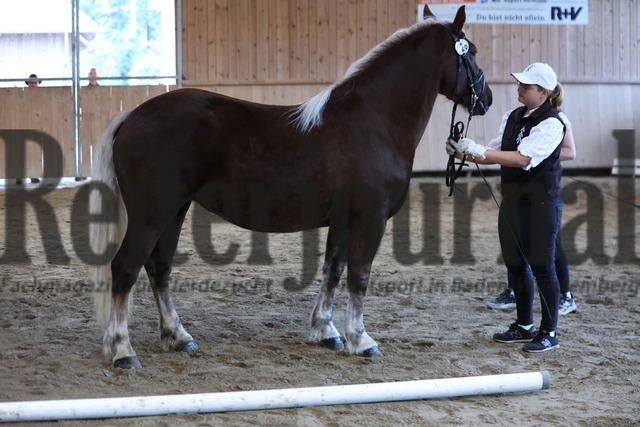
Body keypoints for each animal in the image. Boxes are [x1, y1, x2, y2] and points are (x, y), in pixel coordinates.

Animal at [89, 5, 490, 370]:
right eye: (470, 52)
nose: (485, 99)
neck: (373, 121)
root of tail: (131, 116)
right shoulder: (370, 219)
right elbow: (359, 277)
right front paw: (361, 340)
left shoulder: (343, 220)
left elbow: (333, 270)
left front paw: (326, 331)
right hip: (152, 214)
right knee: (125, 268)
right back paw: (122, 350)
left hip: (175, 211)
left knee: (159, 268)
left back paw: (178, 336)